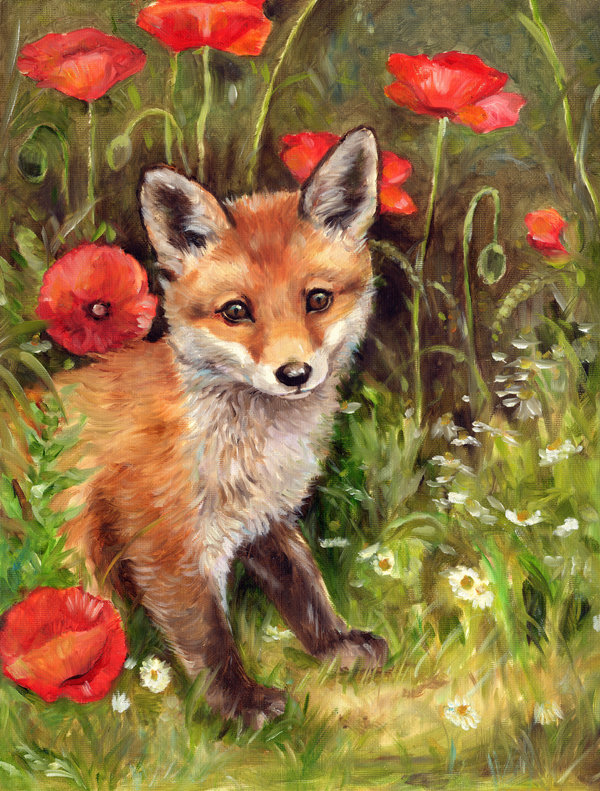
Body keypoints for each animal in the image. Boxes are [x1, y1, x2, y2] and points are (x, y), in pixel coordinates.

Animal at [54, 127, 388, 728]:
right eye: (236, 311)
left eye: (318, 299)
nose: (294, 374)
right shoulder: (162, 542)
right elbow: (208, 637)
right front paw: (238, 705)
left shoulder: (265, 518)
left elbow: (304, 588)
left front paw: (335, 645)